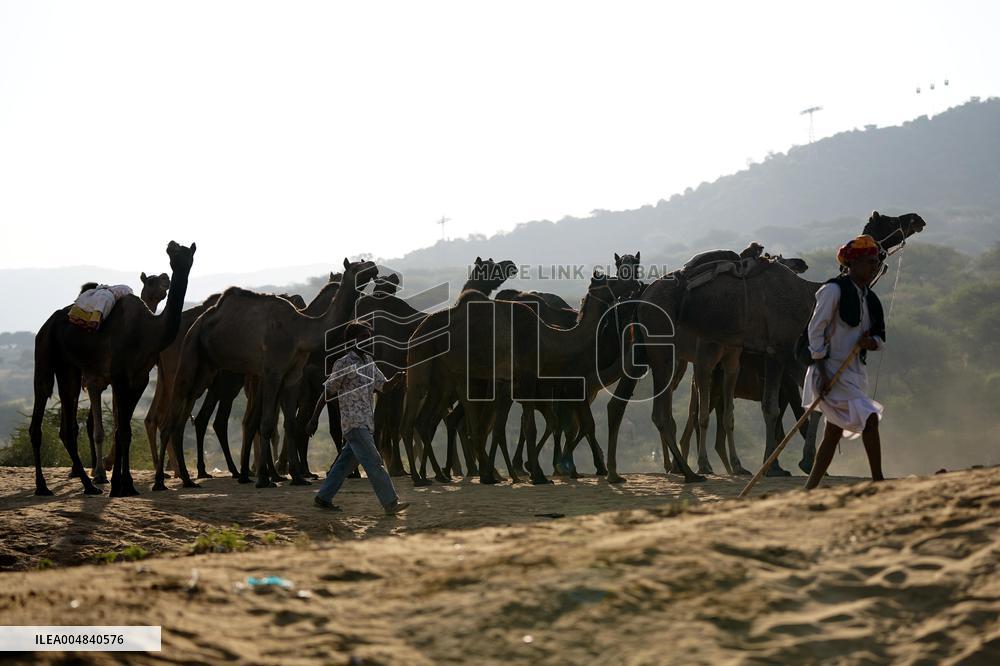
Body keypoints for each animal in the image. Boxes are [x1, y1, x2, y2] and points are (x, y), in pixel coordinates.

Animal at [30, 241, 197, 497]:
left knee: (68, 429)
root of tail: (46, 324)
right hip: (45, 356)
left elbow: (124, 431)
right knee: (39, 414)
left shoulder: (139, 379)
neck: (148, 330)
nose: (171, 244)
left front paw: (126, 484)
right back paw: (43, 486)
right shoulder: (119, 376)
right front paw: (118, 485)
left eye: (187, 252)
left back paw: (88, 486)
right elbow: (121, 430)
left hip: (69, 369)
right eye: (175, 251)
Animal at [157, 259, 376, 489]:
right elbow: (267, 423)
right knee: (172, 417)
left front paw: (297, 477)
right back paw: (161, 481)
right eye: (357, 266)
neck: (300, 331)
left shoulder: (293, 375)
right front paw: (264, 478)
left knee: (183, 418)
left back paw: (189, 479)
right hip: (190, 353)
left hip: (206, 369)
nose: (373, 266)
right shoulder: (272, 371)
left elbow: (290, 424)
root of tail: (198, 321)